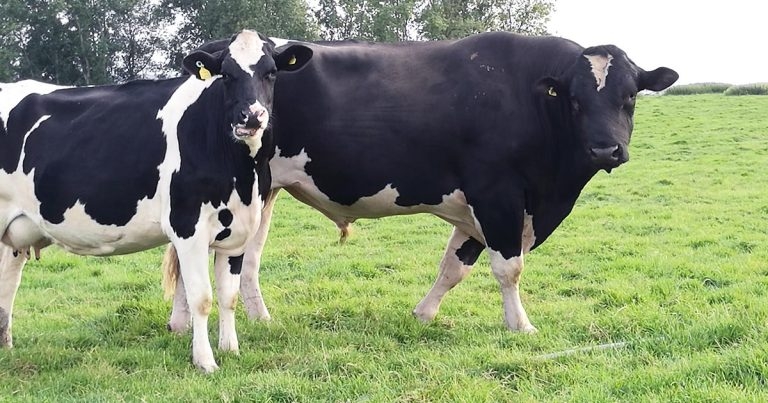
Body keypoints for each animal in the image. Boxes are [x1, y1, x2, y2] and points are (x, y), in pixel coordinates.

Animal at [0, 30, 312, 372]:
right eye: (227, 75)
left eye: (271, 73)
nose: (252, 117)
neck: (242, 175)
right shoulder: (188, 227)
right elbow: (201, 298)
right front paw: (205, 361)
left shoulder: (239, 230)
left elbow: (228, 296)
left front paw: (230, 350)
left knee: (7, 283)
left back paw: (5, 347)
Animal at [162, 31, 678, 334]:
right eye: (574, 99)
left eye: (630, 96)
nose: (606, 150)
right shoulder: (498, 196)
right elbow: (508, 268)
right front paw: (521, 326)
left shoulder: (483, 209)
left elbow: (455, 266)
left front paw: (425, 314)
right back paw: (186, 322)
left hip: (259, 191)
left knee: (238, 258)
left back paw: (244, 319)